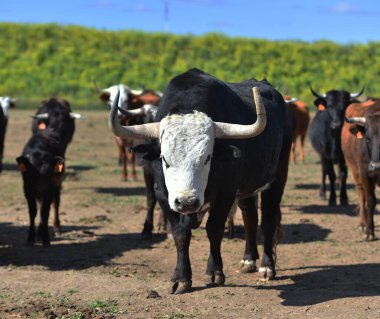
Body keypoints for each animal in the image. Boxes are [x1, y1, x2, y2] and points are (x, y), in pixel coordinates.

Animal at [108, 69, 292, 296]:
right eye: (164, 158)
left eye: (207, 157)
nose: (187, 202)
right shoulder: (162, 194)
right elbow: (180, 233)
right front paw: (181, 278)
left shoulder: (225, 193)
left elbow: (214, 229)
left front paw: (214, 271)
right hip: (247, 186)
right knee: (250, 214)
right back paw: (248, 260)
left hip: (278, 176)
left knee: (268, 218)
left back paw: (267, 267)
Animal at [342, 99, 380, 241]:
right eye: (367, 139)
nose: (376, 166)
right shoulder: (365, 174)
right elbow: (370, 200)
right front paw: (369, 231)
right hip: (355, 171)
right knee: (361, 194)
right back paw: (362, 225)